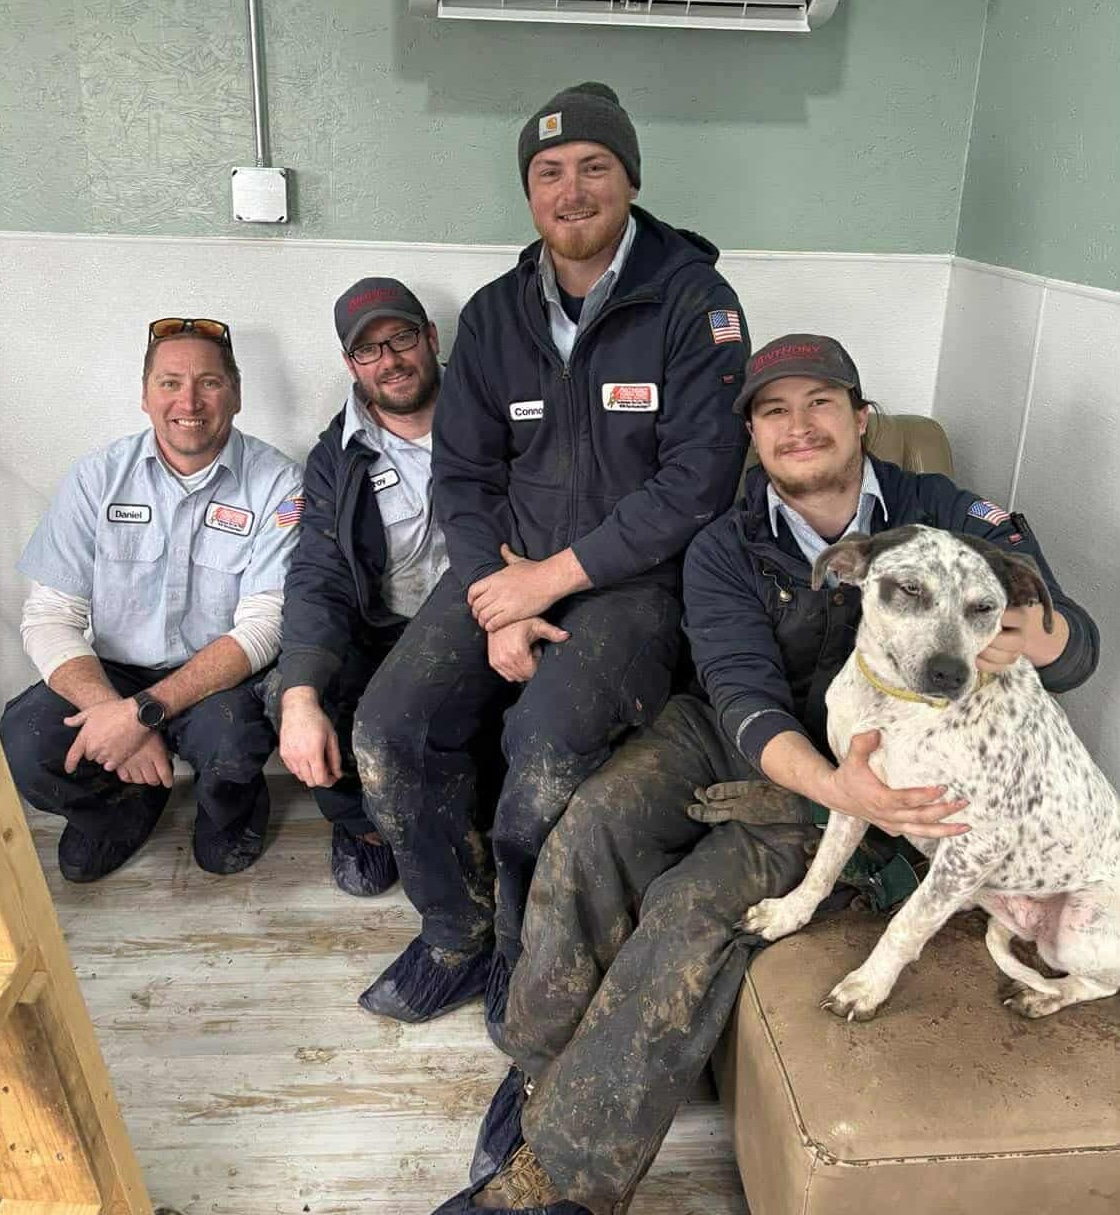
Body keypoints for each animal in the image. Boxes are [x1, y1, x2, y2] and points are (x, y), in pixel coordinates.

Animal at [742, 525, 1120, 1021]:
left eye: (985, 607)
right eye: (909, 588)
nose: (949, 673)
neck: (895, 707)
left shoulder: (978, 842)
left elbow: (906, 927)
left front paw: (867, 985)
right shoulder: (852, 794)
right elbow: (823, 870)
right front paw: (788, 913)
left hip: (1078, 928)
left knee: (1100, 985)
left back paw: (1045, 995)